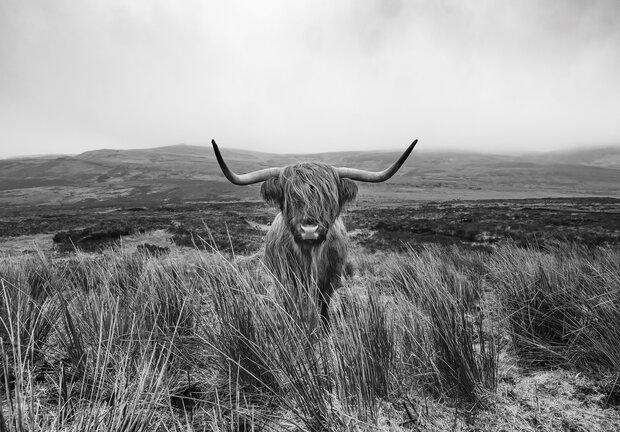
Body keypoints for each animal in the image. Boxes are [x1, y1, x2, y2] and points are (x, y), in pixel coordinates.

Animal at [211, 140, 418, 326]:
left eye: (328, 197)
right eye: (290, 197)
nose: (309, 230)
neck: (310, 256)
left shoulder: (330, 280)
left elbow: (323, 305)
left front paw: (325, 329)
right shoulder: (287, 280)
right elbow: (292, 305)